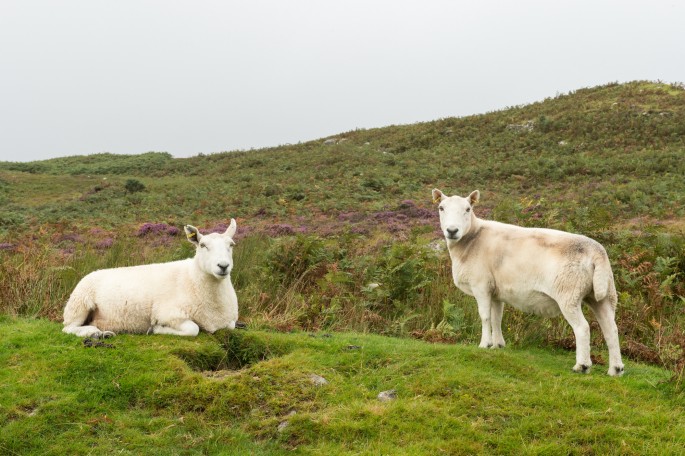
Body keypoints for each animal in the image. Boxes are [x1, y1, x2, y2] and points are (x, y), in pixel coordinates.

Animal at [62, 221, 238, 338]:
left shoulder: (228, 319)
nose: (223, 266)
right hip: (79, 304)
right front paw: (157, 329)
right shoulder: (168, 313)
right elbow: (192, 329)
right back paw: (94, 334)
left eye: (231, 245)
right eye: (202, 245)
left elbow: (231, 326)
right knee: (69, 328)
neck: (192, 279)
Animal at [436, 187, 624, 376]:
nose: (452, 230)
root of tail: (596, 252)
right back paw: (616, 369)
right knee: (611, 329)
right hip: (604, 294)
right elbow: (497, 317)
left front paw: (484, 344)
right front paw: (498, 345)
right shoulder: (495, 290)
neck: (472, 238)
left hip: (569, 293)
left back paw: (582, 366)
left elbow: (485, 316)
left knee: (583, 328)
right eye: (441, 208)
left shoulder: (481, 284)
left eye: (468, 209)